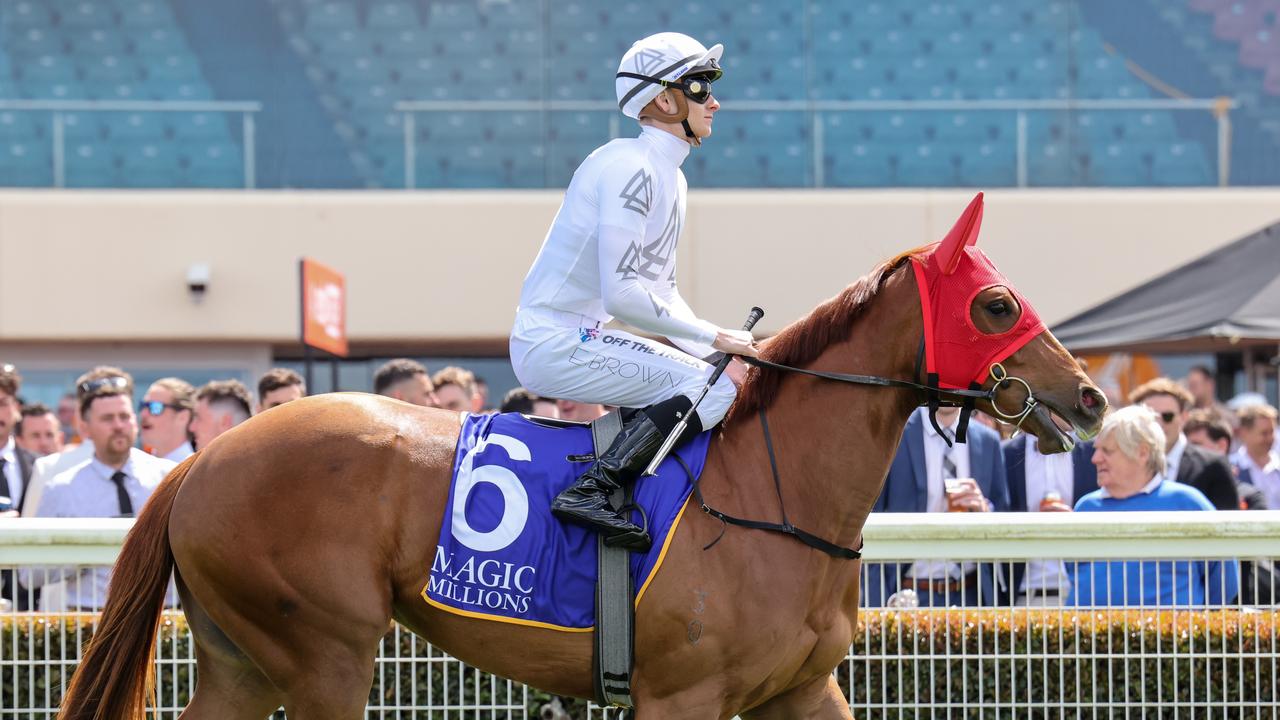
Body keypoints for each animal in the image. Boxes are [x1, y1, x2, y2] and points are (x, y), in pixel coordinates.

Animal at [55, 196, 1105, 717]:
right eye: (997, 304)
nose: (1090, 397)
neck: (774, 493)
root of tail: (202, 460)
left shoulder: (802, 691)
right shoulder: (682, 696)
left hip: (244, 660)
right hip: (324, 655)